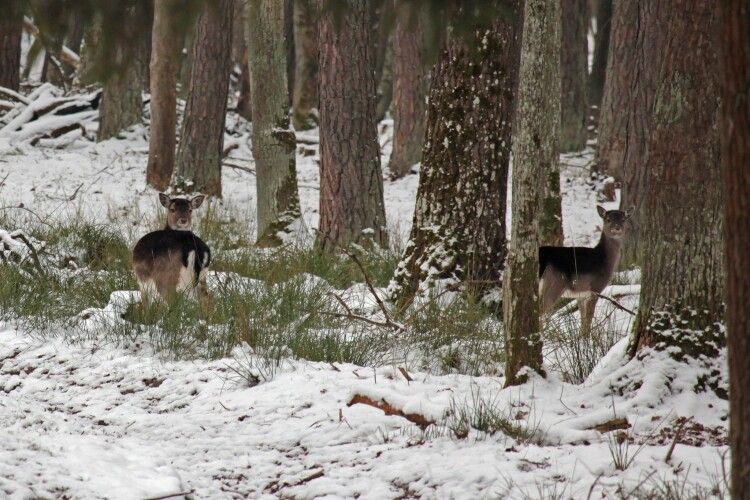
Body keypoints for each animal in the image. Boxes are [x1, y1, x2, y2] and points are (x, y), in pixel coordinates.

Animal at [540, 203, 636, 336]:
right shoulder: (595, 288)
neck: (603, 261)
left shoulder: (581, 294)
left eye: (623, 219)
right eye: (608, 219)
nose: (617, 228)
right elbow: (589, 319)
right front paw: (586, 339)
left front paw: (581, 338)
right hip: (553, 283)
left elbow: (583, 321)